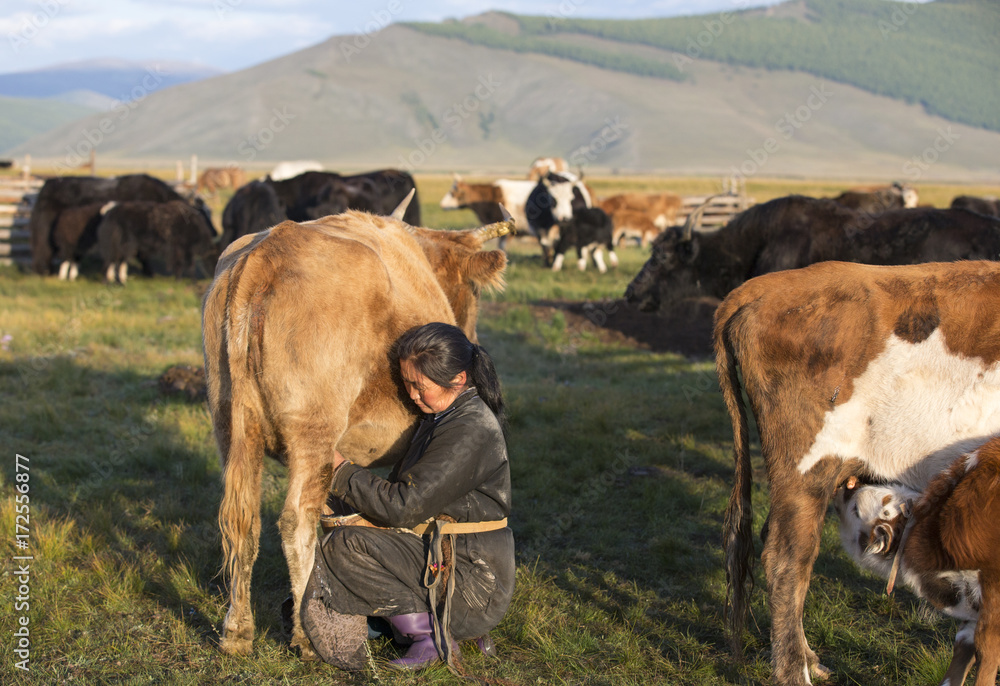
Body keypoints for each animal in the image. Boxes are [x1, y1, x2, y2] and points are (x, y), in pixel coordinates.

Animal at [29, 173, 186, 275]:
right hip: (47, 233)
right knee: (44, 249)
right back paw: (45, 271)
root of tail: (46, 187)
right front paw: (148, 273)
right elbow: (142, 254)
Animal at [201, 194, 513, 660]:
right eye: (472, 291)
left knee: (244, 520)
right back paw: (306, 636)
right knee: (296, 521)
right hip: (312, 428)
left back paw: (237, 632)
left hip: (231, 425)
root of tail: (266, 252)